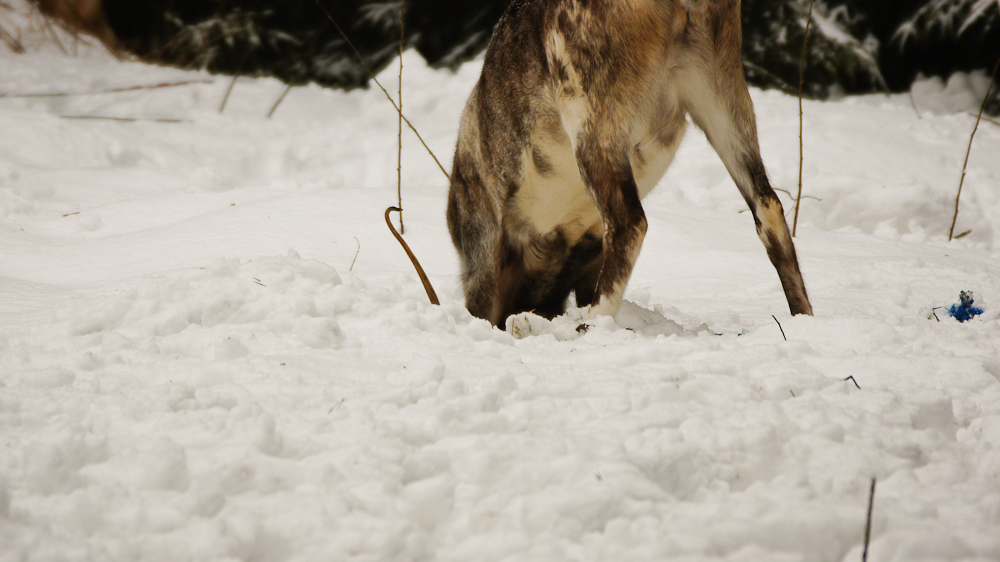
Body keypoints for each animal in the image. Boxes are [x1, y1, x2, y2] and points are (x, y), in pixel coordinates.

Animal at [446, 0, 812, 328]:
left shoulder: (484, 251)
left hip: (590, 110)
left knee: (630, 222)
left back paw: (591, 326)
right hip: (718, 89)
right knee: (769, 206)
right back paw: (804, 317)